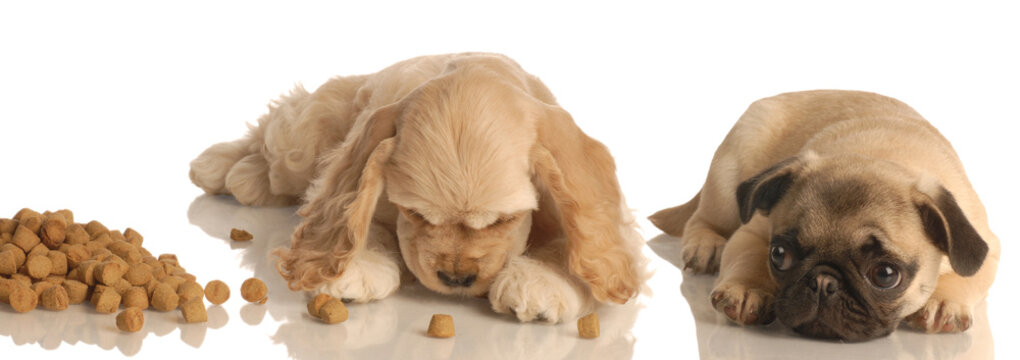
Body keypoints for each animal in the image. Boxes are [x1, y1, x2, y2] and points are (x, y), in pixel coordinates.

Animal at [191, 52, 644, 320]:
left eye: (504, 220)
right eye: (414, 213)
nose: (456, 278)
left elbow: (582, 238)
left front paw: (540, 281)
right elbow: (352, 216)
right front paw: (358, 264)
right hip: (303, 140)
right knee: (275, 132)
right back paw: (222, 167)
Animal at [648, 89, 999, 338]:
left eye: (886, 275)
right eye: (779, 255)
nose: (823, 281)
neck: (878, 157)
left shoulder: (985, 245)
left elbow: (969, 275)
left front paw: (944, 300)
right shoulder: (753, 231)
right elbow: (748, 256)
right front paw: (749, 289)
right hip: (728, 178)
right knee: (701, 219)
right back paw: (706, 245)